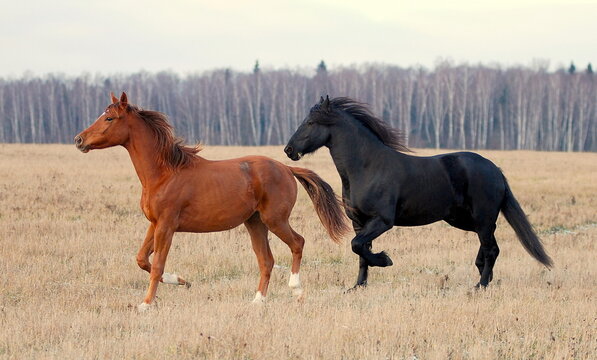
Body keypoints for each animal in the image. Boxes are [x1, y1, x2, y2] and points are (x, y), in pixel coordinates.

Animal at [74, 92, 346, 310]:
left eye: (109, 118)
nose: (79, 140)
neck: (164, 173)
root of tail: (287, 168)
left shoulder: (167, 226)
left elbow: (157, 265)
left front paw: (146, 304)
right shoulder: (155, 224)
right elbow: (142, 259)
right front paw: (182, 281)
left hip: (275, 220)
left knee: (297, 243)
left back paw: (296, 291)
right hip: (255, 223)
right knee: (266, 260)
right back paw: (258, 301)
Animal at [286, 97, 552, 288]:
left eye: (310, 123)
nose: (289, 150)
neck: (367, 168)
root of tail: (494, 169)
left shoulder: (382, 221)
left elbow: (357, 246)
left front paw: (385, 260)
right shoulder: (359, 222)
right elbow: (360, 252)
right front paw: (358, 286)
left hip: (481, 218)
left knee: (491, 248)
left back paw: (482, 284)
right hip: (465, 220)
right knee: (489, 246)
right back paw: (484, 277)